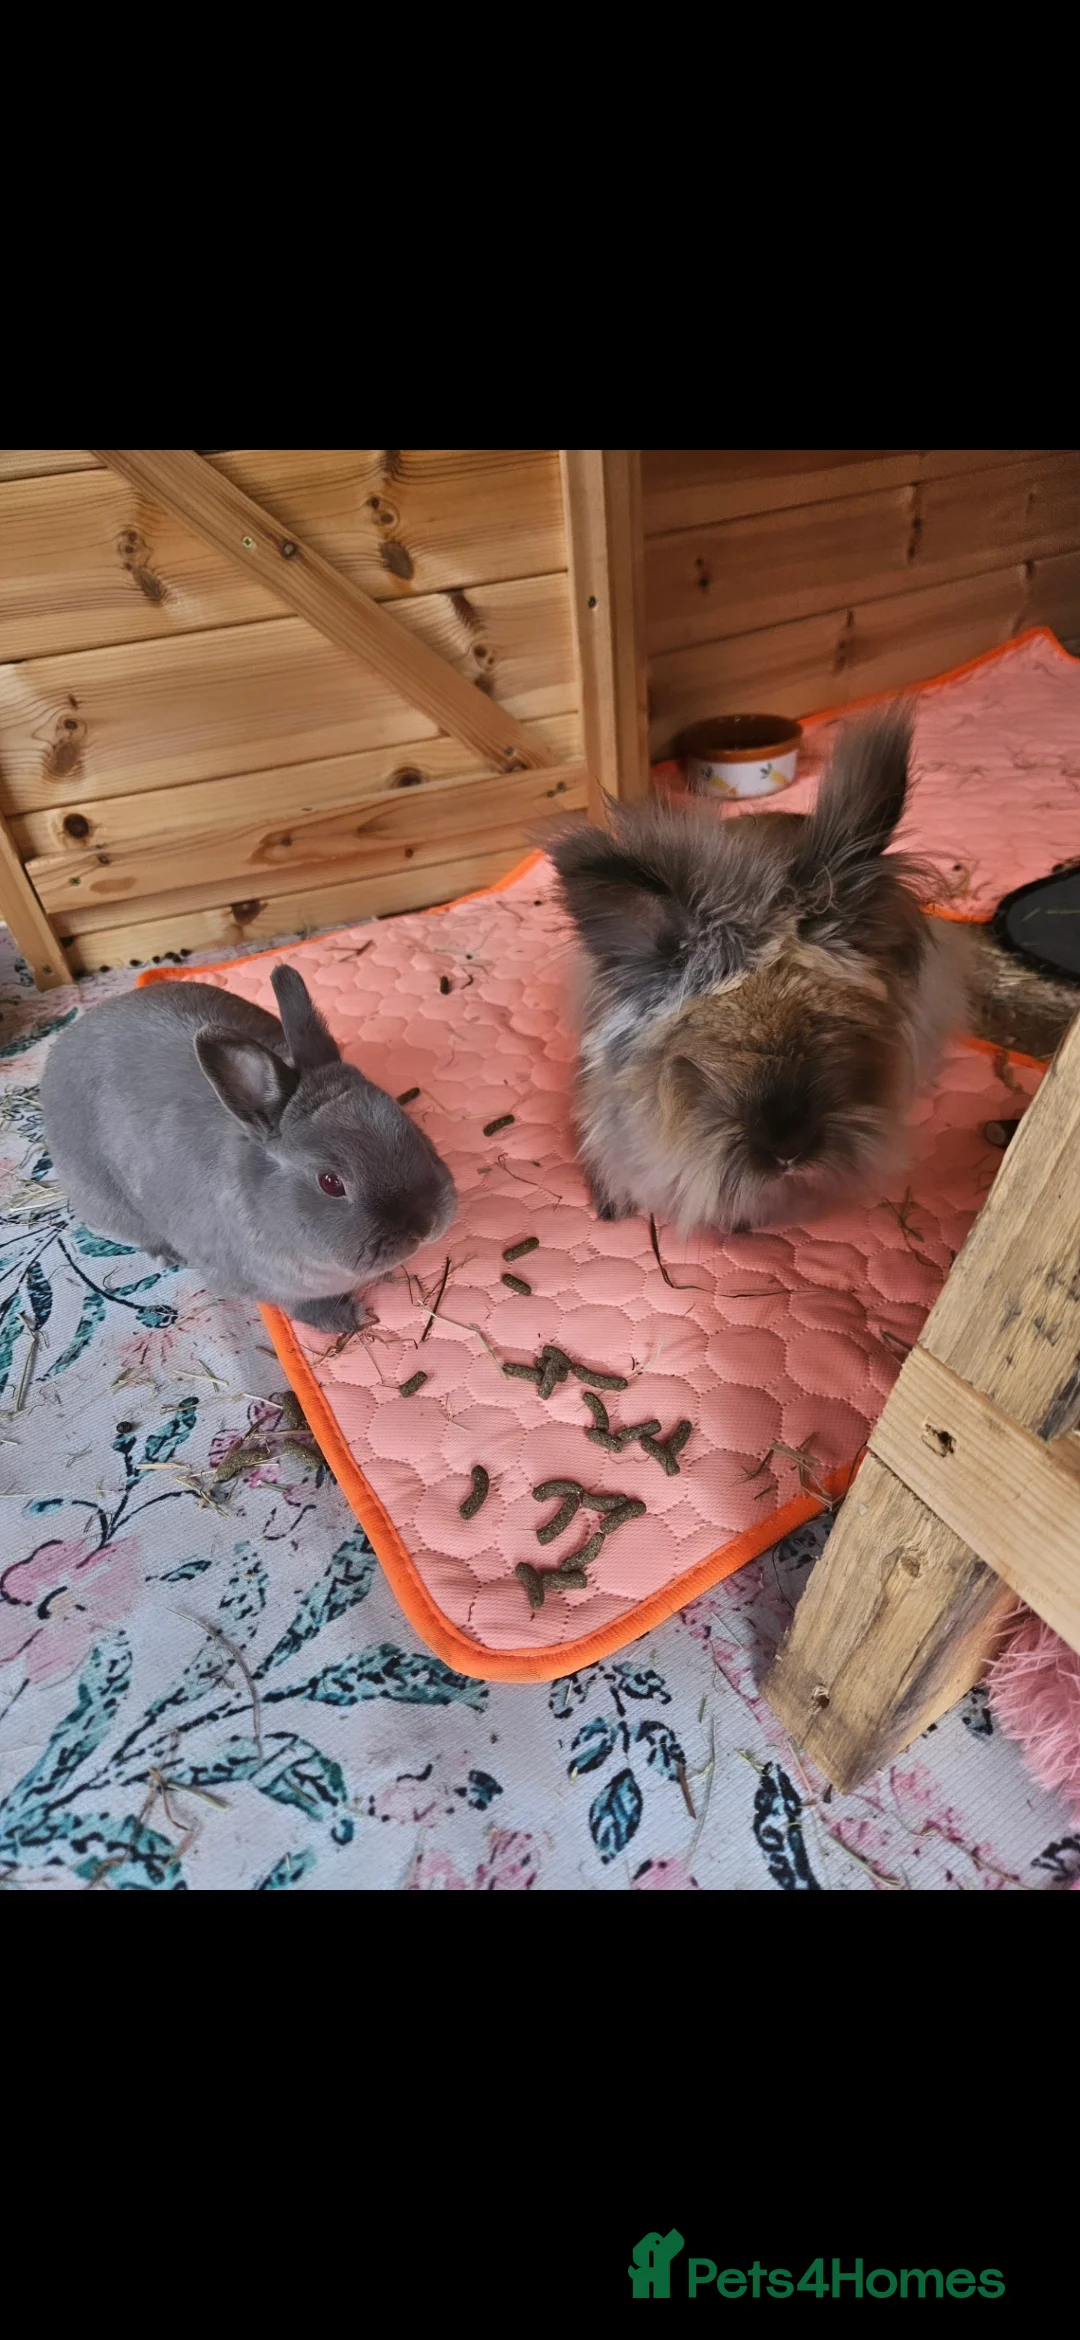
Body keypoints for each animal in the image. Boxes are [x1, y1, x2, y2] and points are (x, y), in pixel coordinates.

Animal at [40, 963, 457, 1332]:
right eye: (330, 1183)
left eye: (406, 1123)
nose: (424, 1226)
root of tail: (62, 1049)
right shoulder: (271, 1287)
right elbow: (301, 1307)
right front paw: (348, 1318)